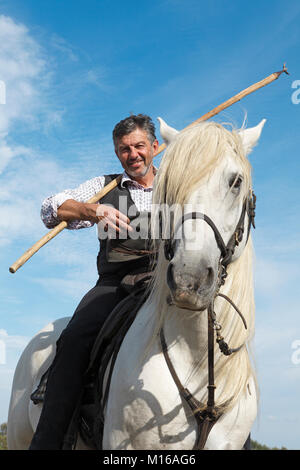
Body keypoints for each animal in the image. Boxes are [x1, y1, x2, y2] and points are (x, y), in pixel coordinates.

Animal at [7, 115, 264, 450]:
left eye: (236, 182)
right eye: (170, 189)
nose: (188, 279)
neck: (198, 364)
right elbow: (56, 203)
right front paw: (103, 212)